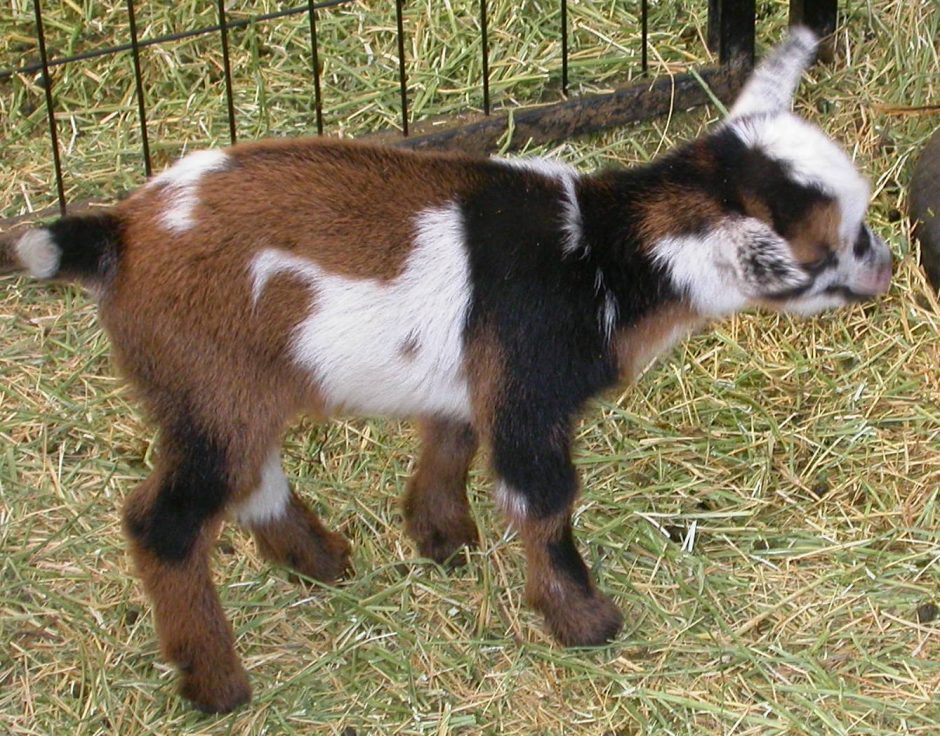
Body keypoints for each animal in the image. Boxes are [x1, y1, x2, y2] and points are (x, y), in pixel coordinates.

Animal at [0, 29, 891, 713]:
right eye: (835, 246)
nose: (884, 266)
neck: (600, 253)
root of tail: (118, 234)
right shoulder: (531, 391)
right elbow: (543, 500)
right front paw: (584, 621)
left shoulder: (476, 377)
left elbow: (452, 438)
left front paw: (440, 537)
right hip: (210, 381)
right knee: (165, 523)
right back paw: (218, 683)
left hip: (221, 392)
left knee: (248, 476)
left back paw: (321, 561)